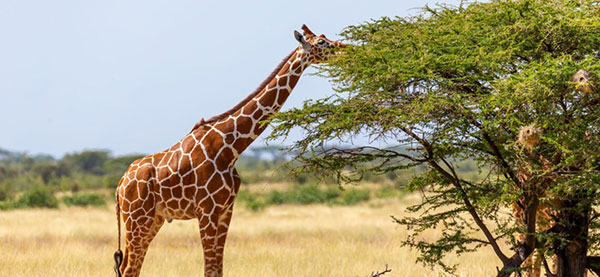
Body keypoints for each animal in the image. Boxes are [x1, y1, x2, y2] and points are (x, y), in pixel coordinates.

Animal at [114, 24, 344, 276]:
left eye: (325, 37)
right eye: (321, 42)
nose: (345, 48)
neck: (231, 147)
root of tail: (120, 186)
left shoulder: (226, 210)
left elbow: (217, 269)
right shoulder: (207, 211)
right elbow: (209, 269)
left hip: (153, 219)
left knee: (127, 266)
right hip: (137, 218)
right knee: (128, 268)